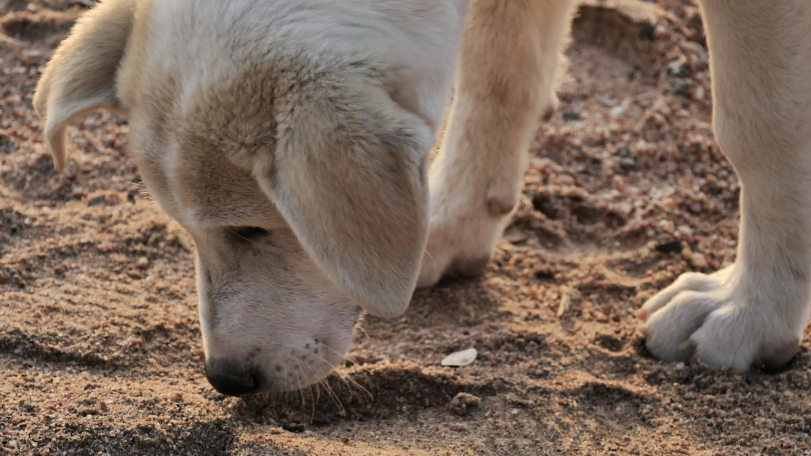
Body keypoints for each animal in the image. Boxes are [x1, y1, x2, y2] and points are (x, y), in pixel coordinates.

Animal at [33, 0, 811, 396]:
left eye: (252, 230)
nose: (223, 380)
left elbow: (761, 125)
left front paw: (750, 311)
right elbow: (498, 70)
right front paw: (447, 226)